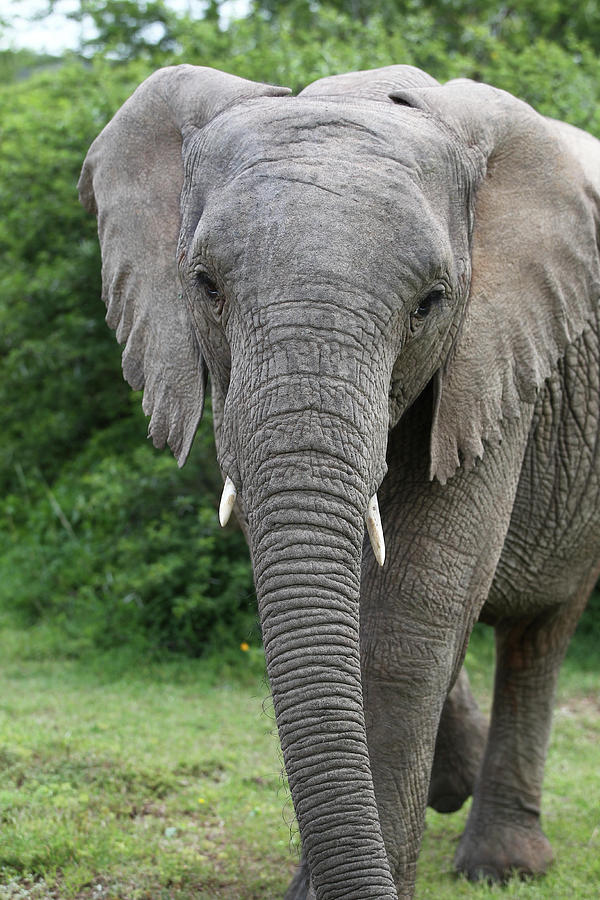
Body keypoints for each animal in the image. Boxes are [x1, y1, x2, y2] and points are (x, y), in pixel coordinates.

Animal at [78, 65, 600, 900]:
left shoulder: (497, 352)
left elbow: (413, 605)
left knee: (541, 632)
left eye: (430, 303)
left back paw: (503, 866)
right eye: (206, 286)